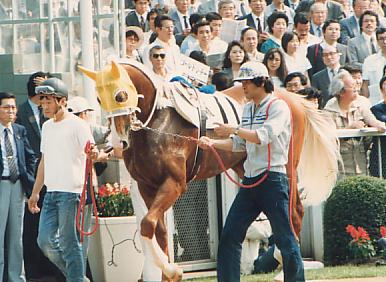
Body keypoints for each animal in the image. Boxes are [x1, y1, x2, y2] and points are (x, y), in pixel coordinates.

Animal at [80, 60, 340, 280]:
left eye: (120, 95)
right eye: (98, 99)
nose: (117, 142)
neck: (159, 121)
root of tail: (292, 98)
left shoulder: (175, 183)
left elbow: (147, 224)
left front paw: (172, 270)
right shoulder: (147, 186)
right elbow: (156, 230)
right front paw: (170, 272)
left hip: (286, 166)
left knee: (293, 211)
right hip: (243, 167)